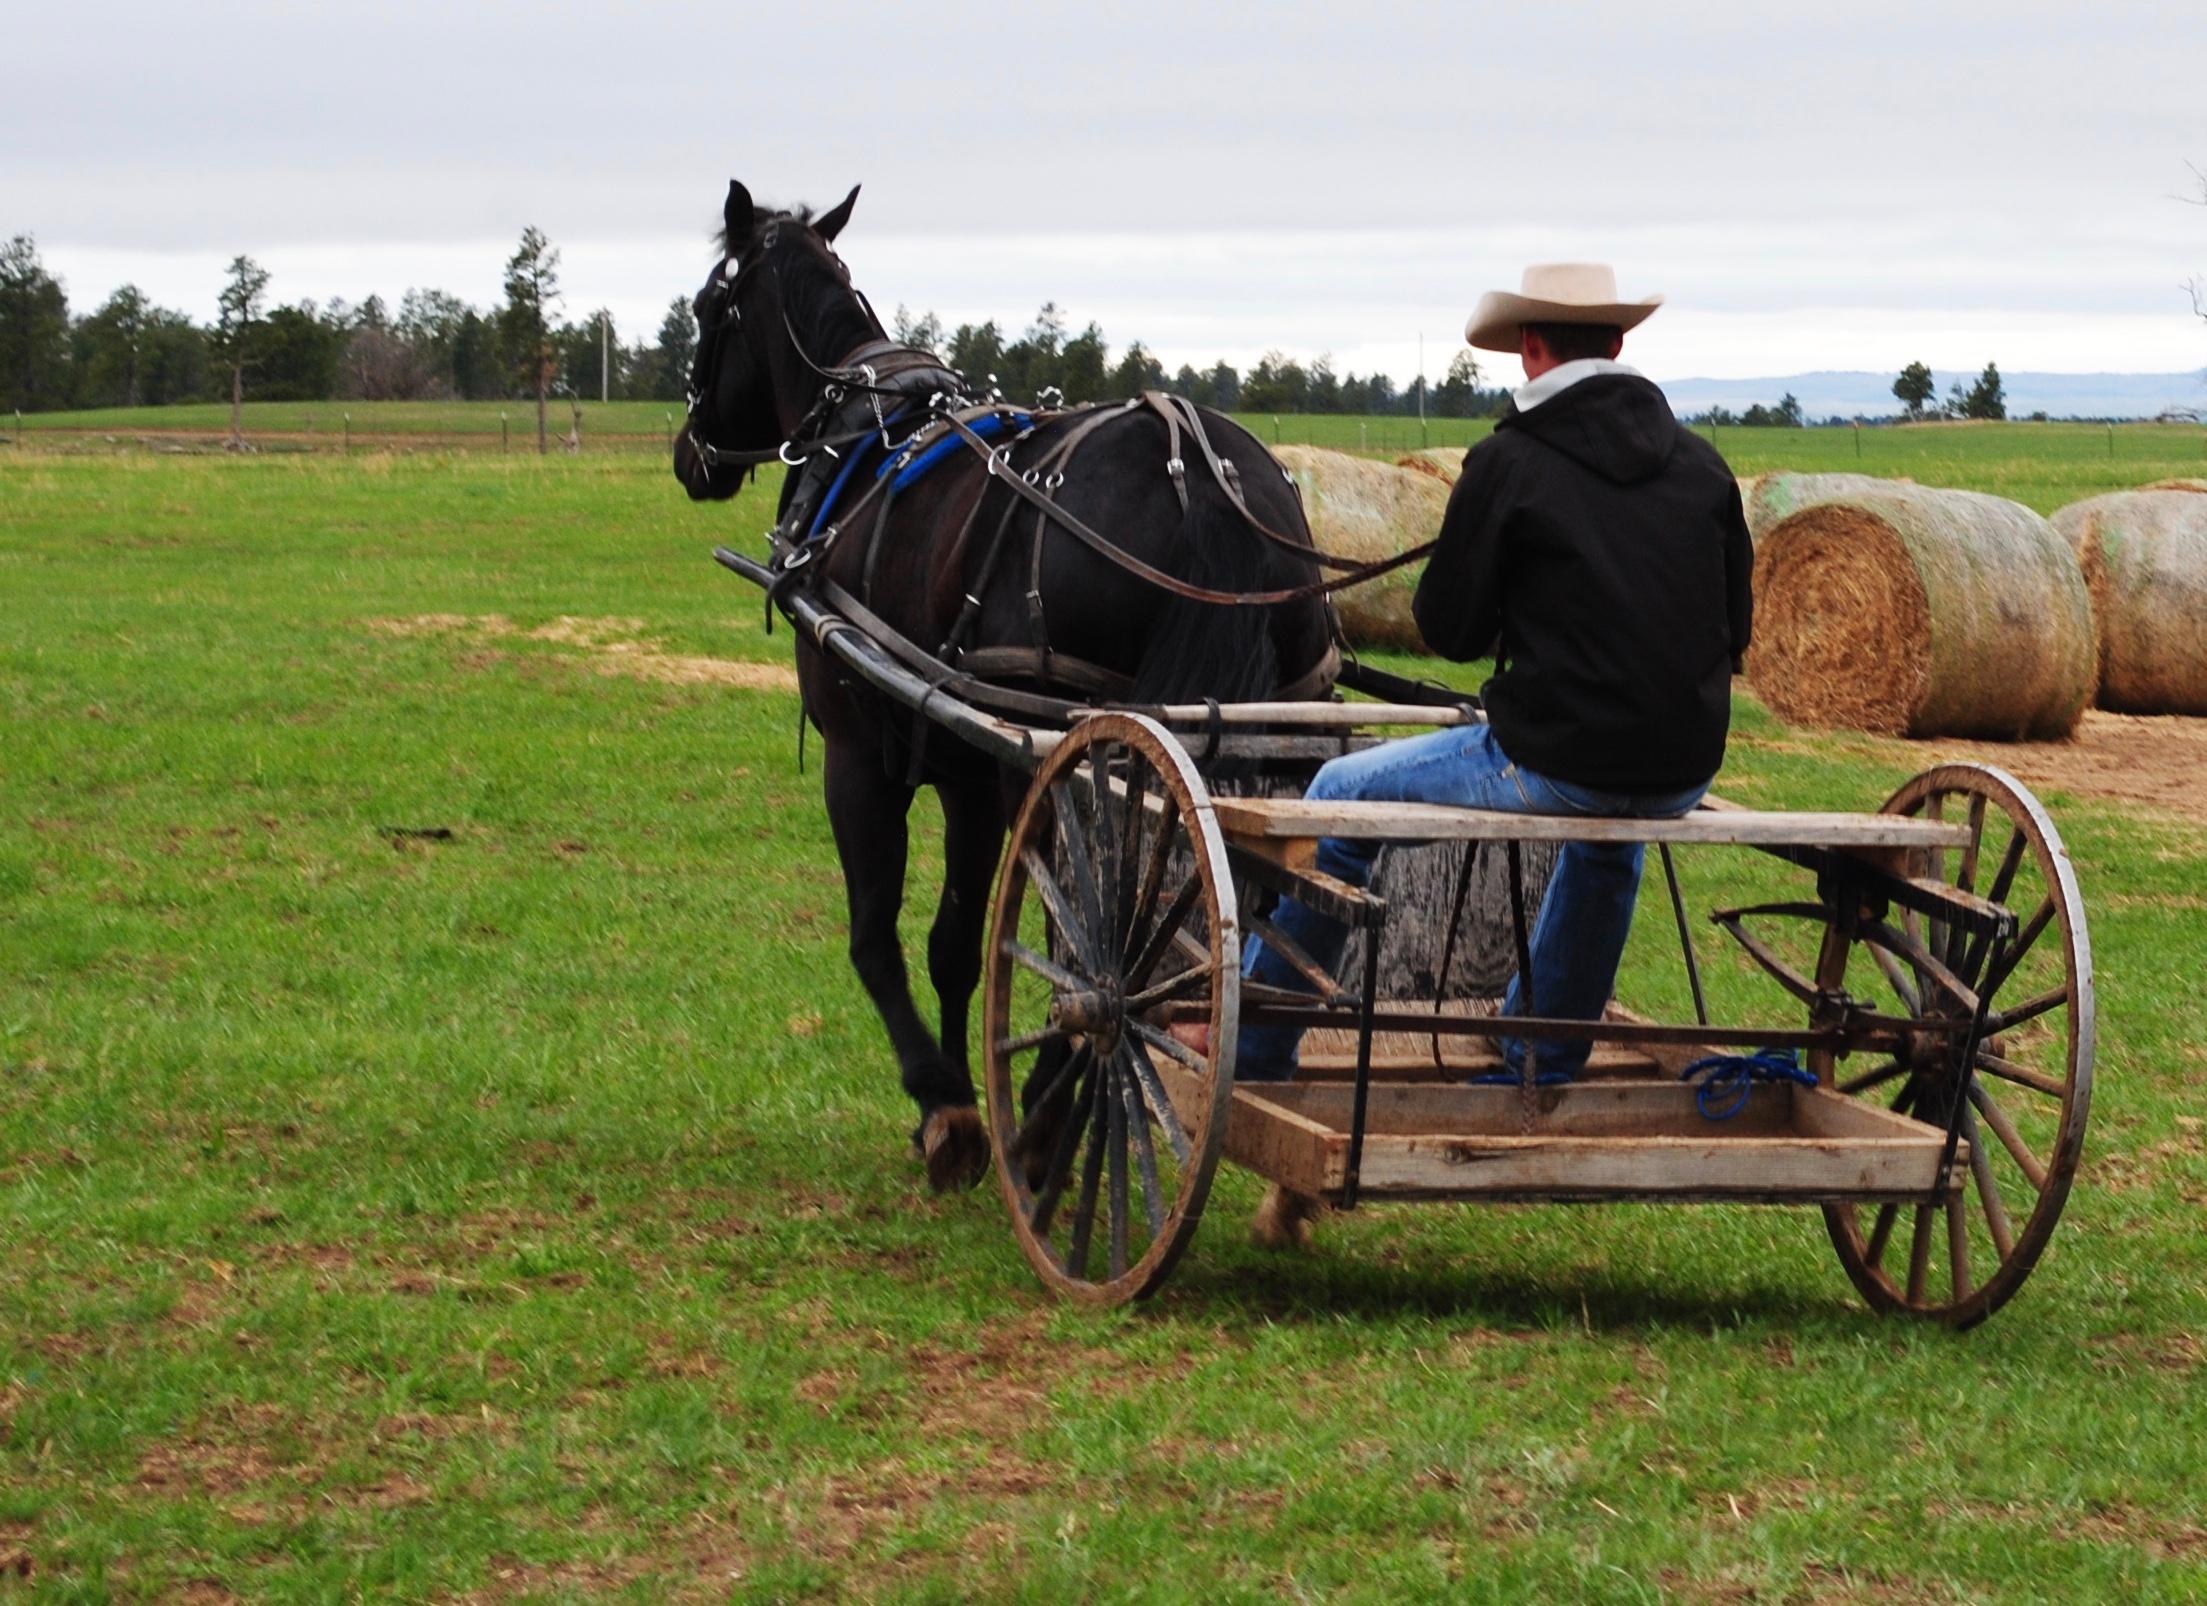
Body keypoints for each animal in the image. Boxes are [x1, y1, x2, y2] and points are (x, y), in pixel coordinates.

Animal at [675, 181, 1324, 1191]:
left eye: (709, 306)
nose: (689, 454)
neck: (857, 425)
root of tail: (1195, 459)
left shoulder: (877, 762)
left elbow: (886, 938)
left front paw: (945, 1106)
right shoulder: (973, 777)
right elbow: (957, 948)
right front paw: (960, 1100)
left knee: (1099, 947)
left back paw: (1056, 1109)